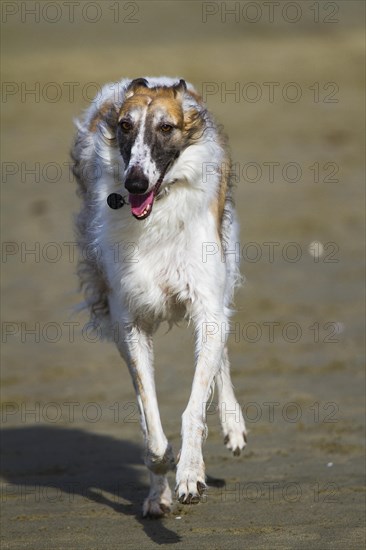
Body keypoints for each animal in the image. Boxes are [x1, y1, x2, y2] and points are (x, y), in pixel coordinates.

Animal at [71, 76, 246, 516]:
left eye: (166, 127)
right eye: (125, 125)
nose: (135, 183)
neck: (158, 215)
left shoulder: (206, 304)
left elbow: (193, 407)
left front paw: (190, 474)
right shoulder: (128, 324)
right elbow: (150, 427)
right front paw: (162, 479)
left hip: (224, 264)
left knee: (221, 354)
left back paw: (233, 425)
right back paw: (157, 494)